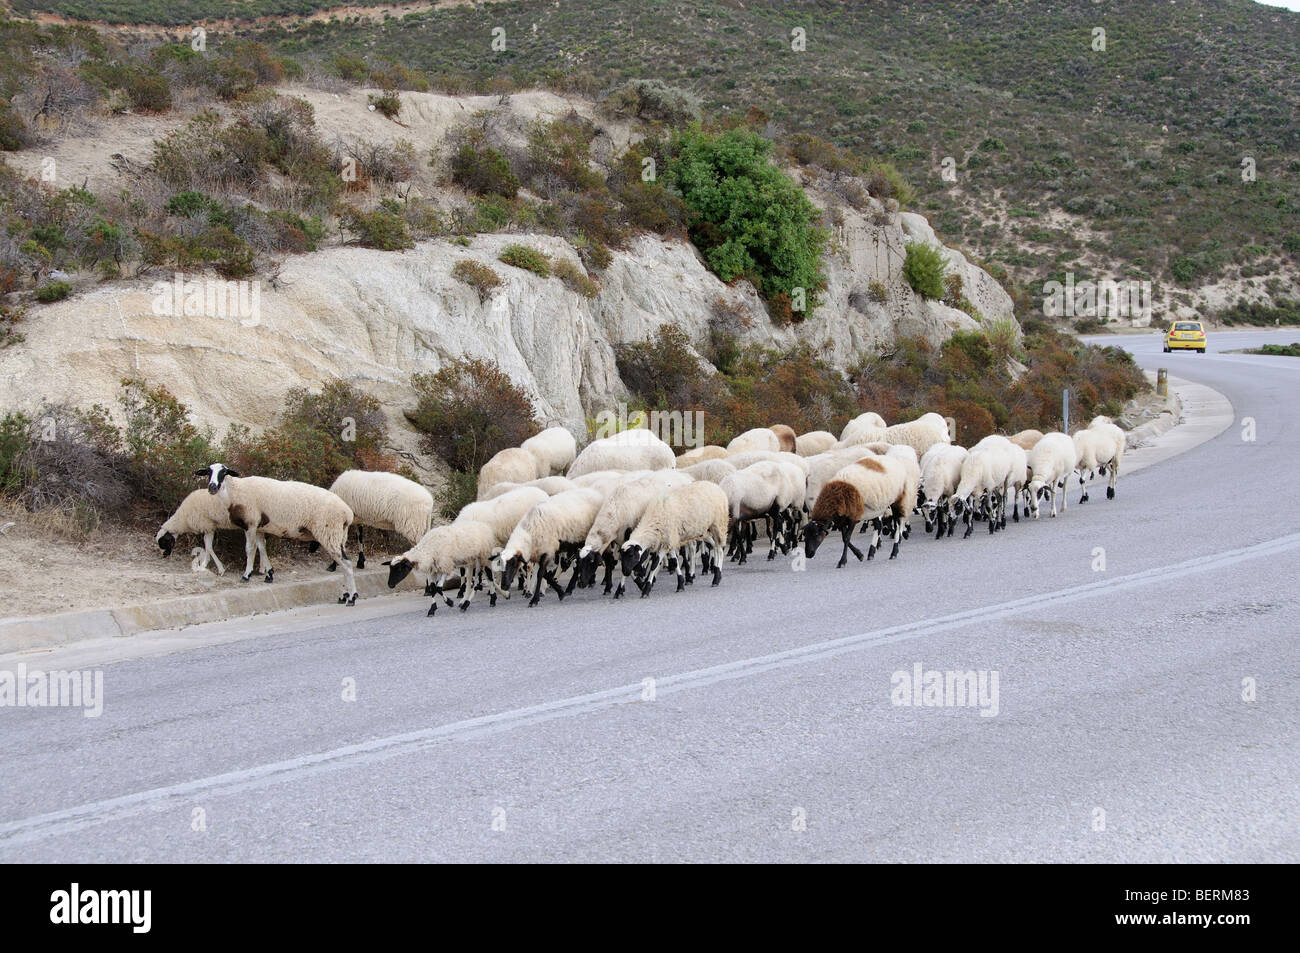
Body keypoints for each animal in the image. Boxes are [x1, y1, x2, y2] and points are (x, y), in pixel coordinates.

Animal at [197, 464, 359, 605]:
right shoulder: (259, 527)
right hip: (339, 536)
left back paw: (351, 597)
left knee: (346, 564)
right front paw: (269, 573)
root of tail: (347, 513)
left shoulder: (251, 523)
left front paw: (247, 575)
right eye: (208, 472)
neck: (235, 491)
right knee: (342, 565)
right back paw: (344, 596)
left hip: (329, 533)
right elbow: (262, 548)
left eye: (224, 472)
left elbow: (250, 549)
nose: (212, 487)